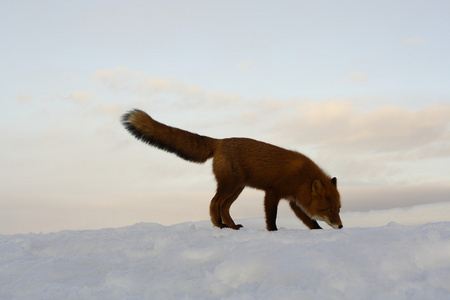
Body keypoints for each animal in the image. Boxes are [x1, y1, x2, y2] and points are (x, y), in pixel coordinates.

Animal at [121, 109, 342, 231]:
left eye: (338, 209)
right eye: (329, 209)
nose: (340, 226)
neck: (302, 177)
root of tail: (220, 141)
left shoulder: (293, 200)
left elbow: (308, 220)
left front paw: (318, 230)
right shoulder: (273, 192)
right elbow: (271, 217)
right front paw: (273, 231)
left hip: (237, 188)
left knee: (224, 207)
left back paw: (231, 226)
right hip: (230, 186)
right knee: (214, 202)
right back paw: (219, 225)